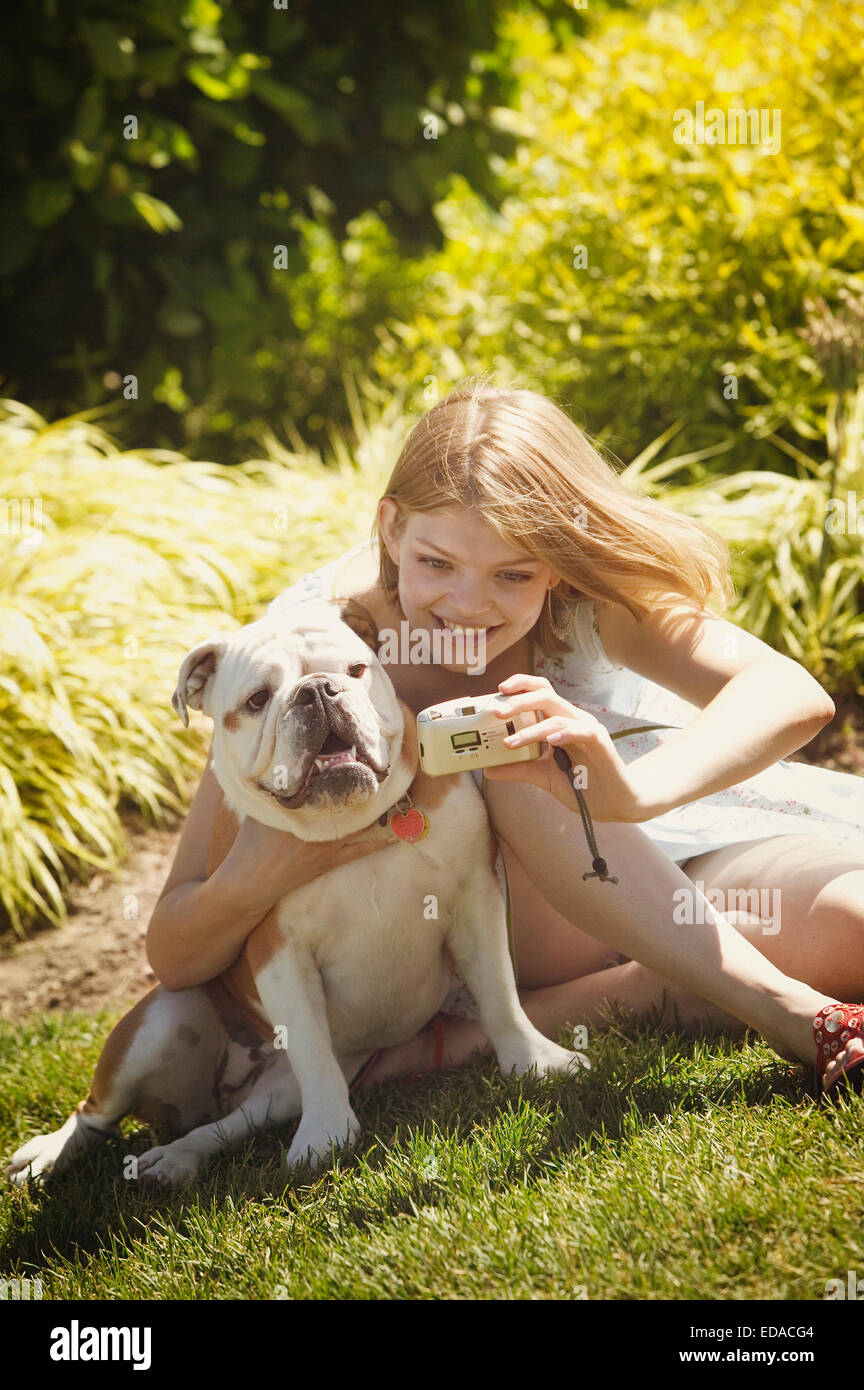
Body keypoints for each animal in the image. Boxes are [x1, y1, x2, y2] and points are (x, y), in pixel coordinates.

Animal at [5, 592, 583, 1189]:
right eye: (257, 700)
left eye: (355, 670)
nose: (318, 690)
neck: (351, 824)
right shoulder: (277, 951)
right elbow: (309, 1045)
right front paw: (327, 1135)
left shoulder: (476, 899)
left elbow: (499, 993)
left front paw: (534, 1062)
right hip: (160, 1020)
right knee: (95, 1111)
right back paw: (52, 1152)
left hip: (275, 1093)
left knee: (229, 1124)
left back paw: (178, 1157)